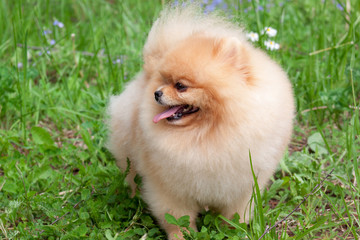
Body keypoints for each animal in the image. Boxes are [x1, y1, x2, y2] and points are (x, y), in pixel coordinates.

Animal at [108, 2, 294, 239]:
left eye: (180, 86)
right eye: (164, 80)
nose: (156, 93)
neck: (207, 133)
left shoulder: (243, 185)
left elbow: (235, 216)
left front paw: (232, 231)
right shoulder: (169, 188)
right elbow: (177, 219)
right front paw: (182, 235)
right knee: (131, 175)